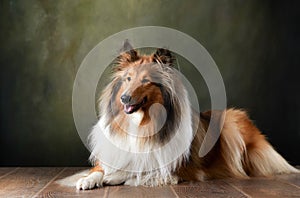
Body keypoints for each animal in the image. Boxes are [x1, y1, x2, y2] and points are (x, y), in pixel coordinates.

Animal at [74, 40, 298, 190]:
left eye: (145, 81)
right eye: (128, 78)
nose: (124, 98)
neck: (141, 122)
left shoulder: (178, 169)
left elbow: (144, 170)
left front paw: (115, 177)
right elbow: (99, 169)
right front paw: (87, 179)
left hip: (232, 122)